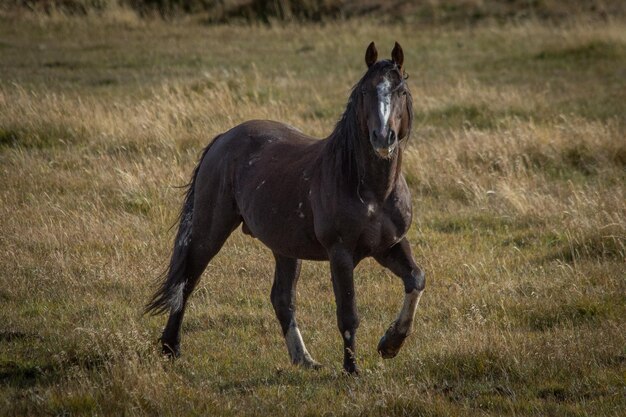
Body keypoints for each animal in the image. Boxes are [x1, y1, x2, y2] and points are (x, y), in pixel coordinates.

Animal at [146, 42, 424, 374]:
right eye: (365, 91)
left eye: (401, 91)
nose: (382, 137)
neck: (372, 191)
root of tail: (224, 138)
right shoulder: (341, 254)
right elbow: (348, 313)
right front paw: (351, 369)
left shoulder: (389, 246)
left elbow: (416, 279)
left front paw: (391, 343)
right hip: (209, 232)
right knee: (187, 281)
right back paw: (170, 347)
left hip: (285, 247)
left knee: (282, 298)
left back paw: (304, 358)